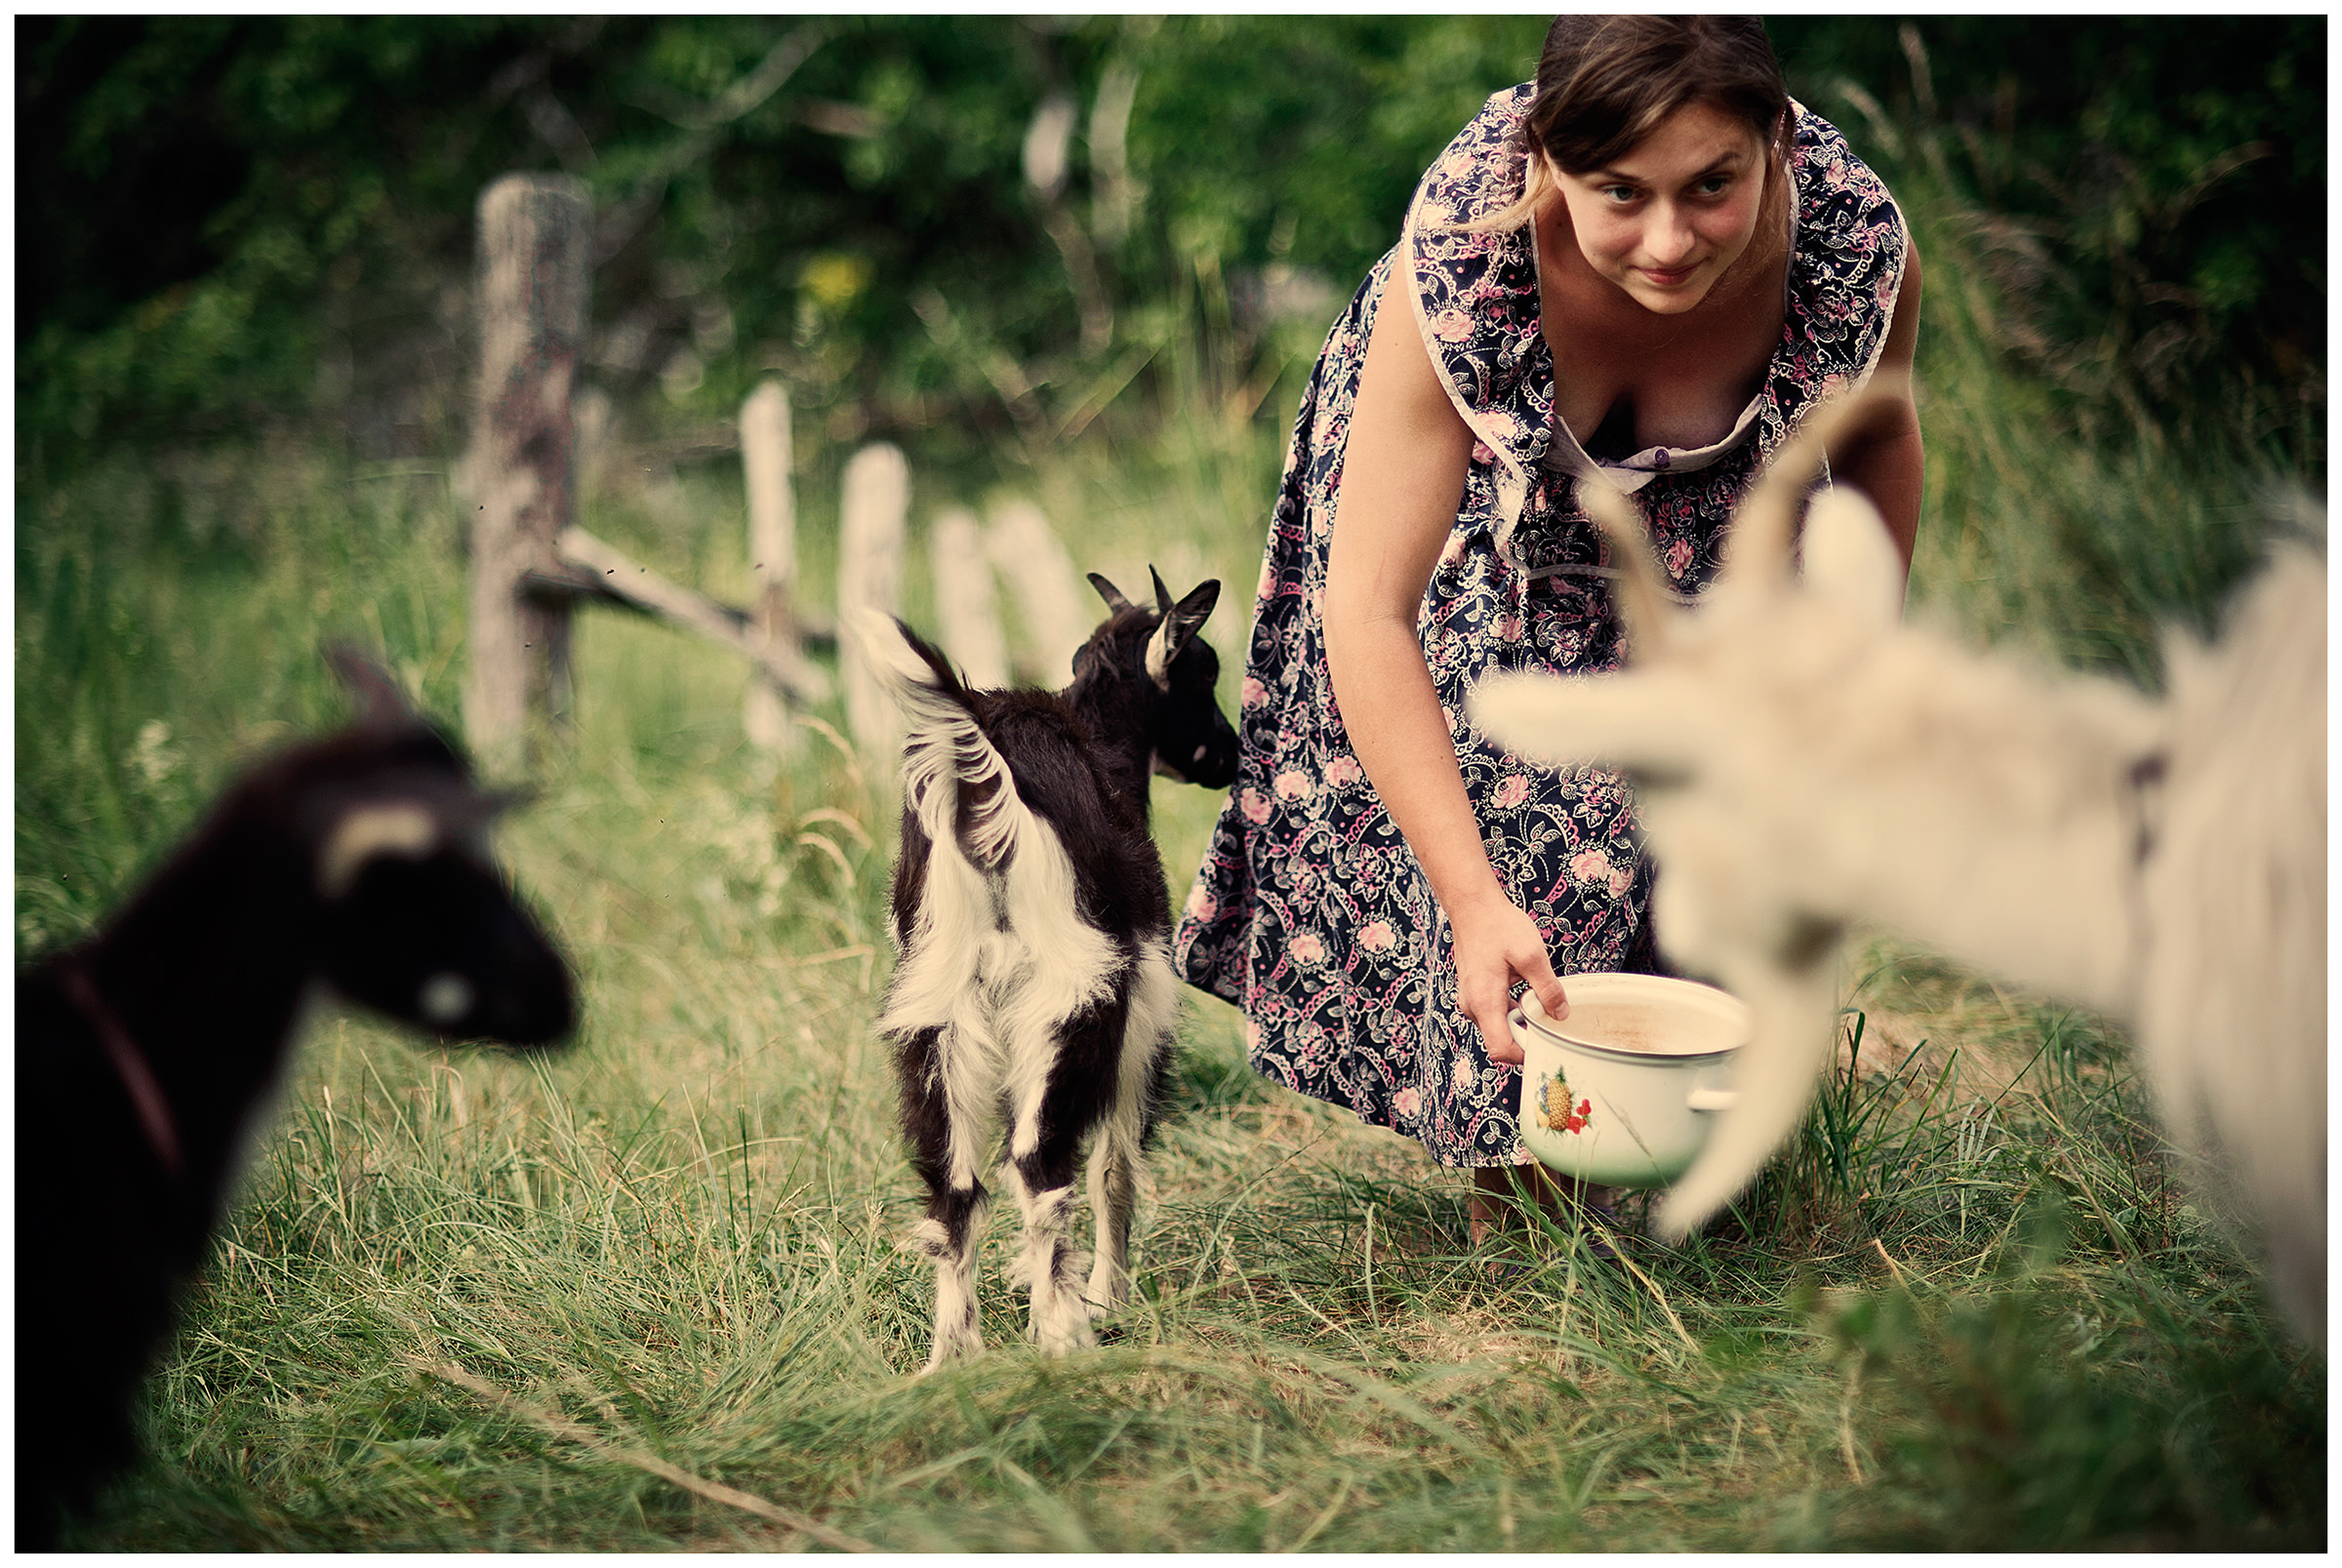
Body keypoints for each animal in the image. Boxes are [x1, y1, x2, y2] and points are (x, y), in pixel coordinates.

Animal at [852, 569, 1238, 1370]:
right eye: (1206, 669)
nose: (1229, 753)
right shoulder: (1140, 1005)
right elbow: (1114, 1167)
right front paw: (1102, 1298)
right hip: (1071, 995)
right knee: (1039, 1163)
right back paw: (1063, 1335)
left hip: (934, 1008)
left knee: (954, 1185)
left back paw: (953, 1356)